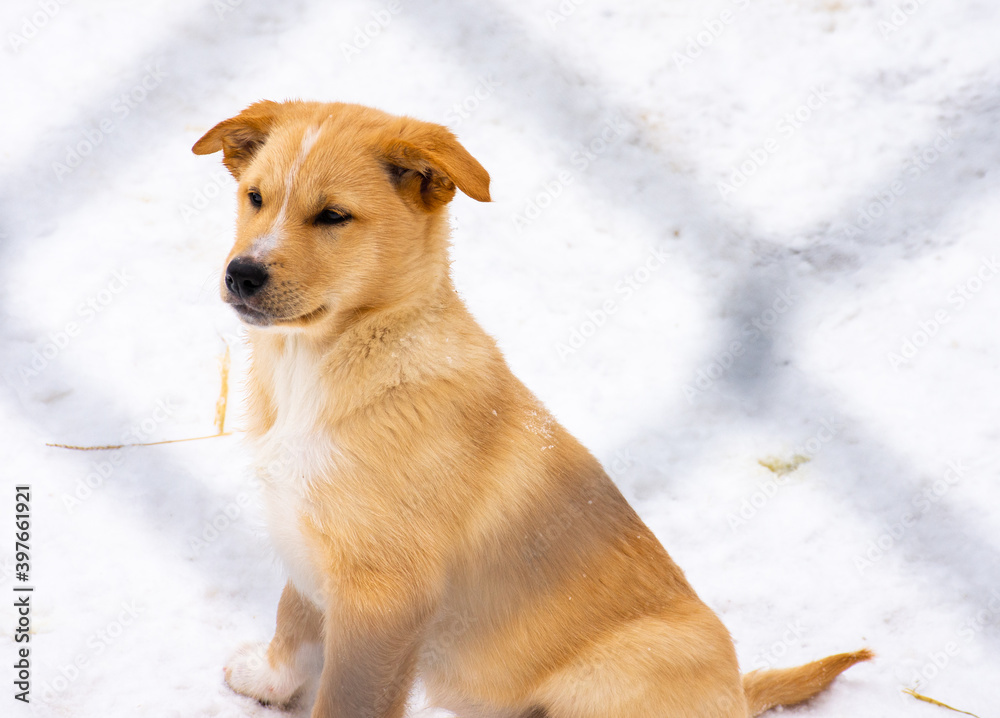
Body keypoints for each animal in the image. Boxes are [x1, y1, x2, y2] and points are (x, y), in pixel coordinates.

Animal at [193, 102, 868, 718]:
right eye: (255, 198)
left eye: (333, 216)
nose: (241, 274)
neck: (318, 363)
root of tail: (737, 696)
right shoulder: (308, 542)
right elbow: (294, 617)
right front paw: (270, 680)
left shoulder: (384, 592)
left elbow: (347, 694)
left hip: (613, 674)